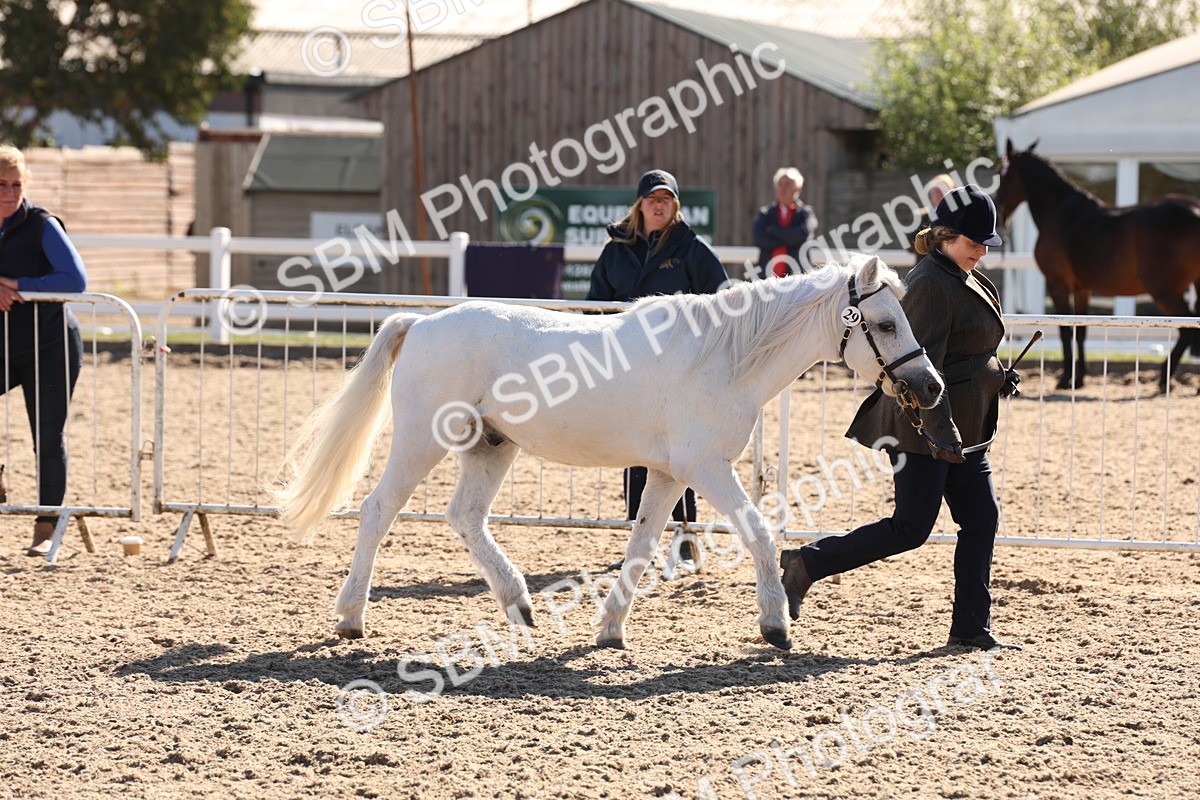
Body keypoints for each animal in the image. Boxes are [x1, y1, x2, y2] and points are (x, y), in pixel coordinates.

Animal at [274, 255, 944, 652]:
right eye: (886, 323)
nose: (932, 386)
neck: (724, 356)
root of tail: (421, 324)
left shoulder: (671, 474)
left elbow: (642, 548)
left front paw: (610, 632)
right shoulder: (706, 468)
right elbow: (757, 533)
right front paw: (775, 625)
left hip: (491, 446)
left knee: (465, 518)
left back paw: (520, 605)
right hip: (423, 440)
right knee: (378, 511)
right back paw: (351, 618)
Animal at [993, 139, 1200, 390]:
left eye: (1002, 175)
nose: (998, 210)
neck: (1058, 209)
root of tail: (1195, 211)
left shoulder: (1058, 283)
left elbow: (1065, 330)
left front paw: (1065, 379)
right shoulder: (1082, 288)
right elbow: (1081, 329)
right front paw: (1079, 377)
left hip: (1165, 291)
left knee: (1187, 330)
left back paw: (1163, 379)